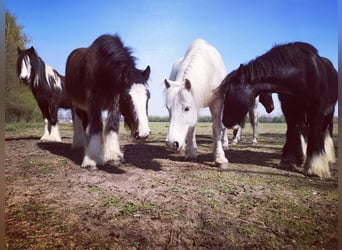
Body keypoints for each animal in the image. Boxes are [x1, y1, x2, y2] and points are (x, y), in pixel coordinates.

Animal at [65, 34, 151, 169]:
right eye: (127, 98)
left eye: (148, 96)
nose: (143, 134)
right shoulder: (93, 101)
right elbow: (96, 125)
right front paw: (92, 159)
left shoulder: (115, 100)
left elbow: (112, 124)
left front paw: (113, 155)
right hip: (76, 104)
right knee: (79, 122)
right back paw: (78, 146)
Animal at [165, 39, 228, 168]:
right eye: (168, 108)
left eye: (187, 108)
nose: (171, 143)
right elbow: (191, 127)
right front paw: (191, 152)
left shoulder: (217, 102)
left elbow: (217, 127)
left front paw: (219, 157)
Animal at [222, 42, 336, 180]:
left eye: (229, 92)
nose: (225, 122)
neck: (302, 73)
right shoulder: (289, 109)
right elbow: (292, 132)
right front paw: (288, 161)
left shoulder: (317, 109)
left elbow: (315, 133)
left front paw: (316, 168)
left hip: (328, 111)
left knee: (326, 129)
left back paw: (327, 157)